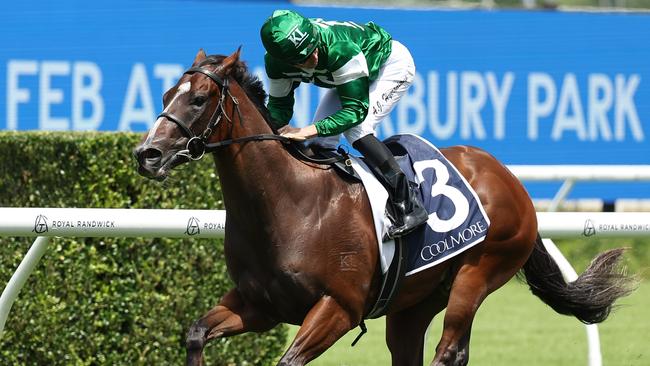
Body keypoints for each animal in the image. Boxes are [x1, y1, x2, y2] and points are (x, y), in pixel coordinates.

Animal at [133, 49, 632, 366]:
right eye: (165, 97)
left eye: (198, 99)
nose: (146, 154)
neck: (288, 204)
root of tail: (510, 179)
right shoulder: (259, 305)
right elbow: (196, 332)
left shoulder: (339, 307)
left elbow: (289, 360)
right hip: (414, 302)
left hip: (478, 272)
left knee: (449, 350)